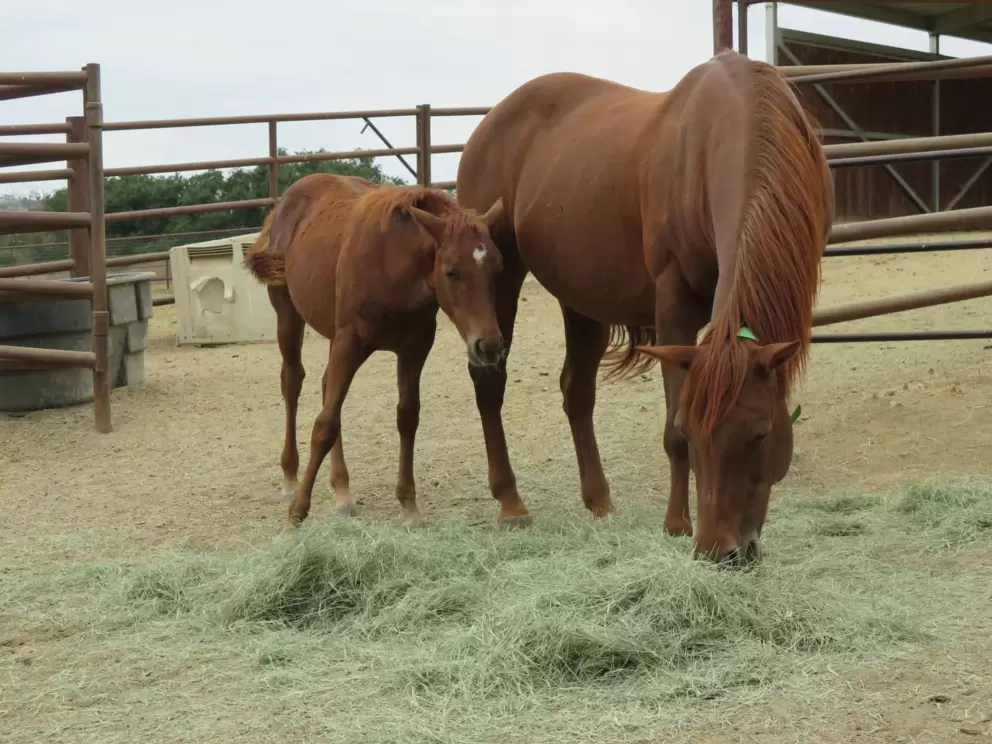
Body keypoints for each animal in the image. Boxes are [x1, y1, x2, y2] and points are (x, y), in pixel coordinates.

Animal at [244, 173, 506, 527]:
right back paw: (290, 479)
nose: (489, 345)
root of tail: (283, 204)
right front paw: (298, 510)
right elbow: (325, 424)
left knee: (325, 386)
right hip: (288, 316)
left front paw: (409, 507)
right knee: (292, 381)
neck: (391, 263)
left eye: (498, 268)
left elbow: (407, 416)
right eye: (451, 271)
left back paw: (342, 490)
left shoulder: (415, 347)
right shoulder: (349, 341)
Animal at [455, 50, 834, 564]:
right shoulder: (673, 303)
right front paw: (676, 525)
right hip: (501, 278)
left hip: (583, 297)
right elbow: (670, 433)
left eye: (759, 434)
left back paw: (599, 501)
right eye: (692, 432)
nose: (717, 551)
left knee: (576, 390)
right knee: (490, 382)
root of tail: (488, 123)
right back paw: (511, 503)